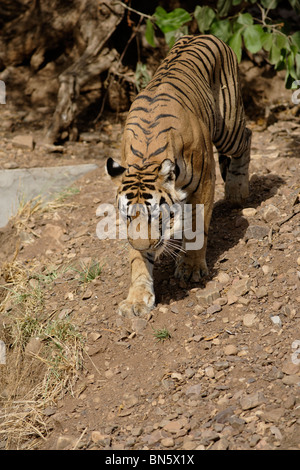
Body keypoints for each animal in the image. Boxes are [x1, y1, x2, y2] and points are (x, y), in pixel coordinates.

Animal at [105, 35, 251, 318]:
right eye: (128, 216)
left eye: (155, 215)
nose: (144, 246)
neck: (146, 159)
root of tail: (203, 35)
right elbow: (137, 261)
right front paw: (137, 299)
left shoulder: (204, 182)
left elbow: (196, 227)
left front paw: (191, 268)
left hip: (229, 128)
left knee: (247, 136)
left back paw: (238, 191)